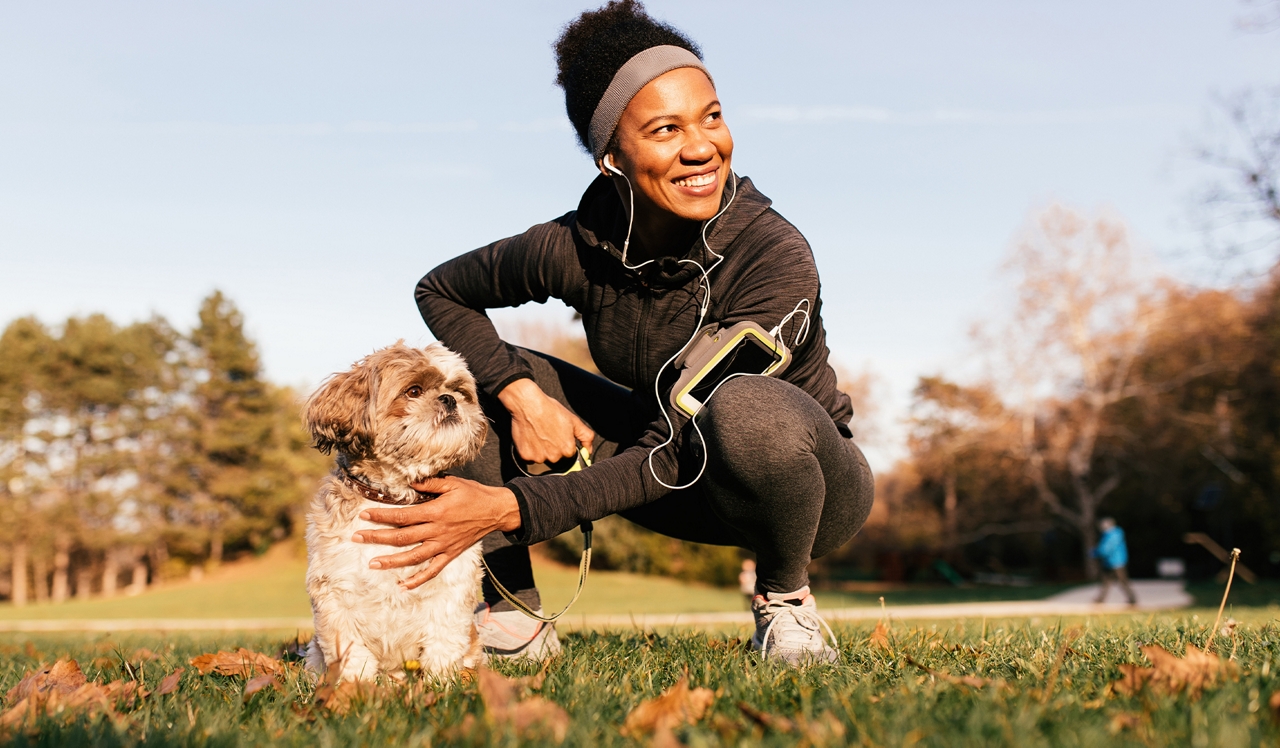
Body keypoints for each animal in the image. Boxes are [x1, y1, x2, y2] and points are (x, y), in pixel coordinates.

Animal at [299, 340, 488, 681]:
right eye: (413, 391)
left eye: (459, 390)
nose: (450, 399)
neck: (392, 499)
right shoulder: (336, 594)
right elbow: (351, 653)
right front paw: (355, 688)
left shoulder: (450, 588)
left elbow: (443, 642)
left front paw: (442, 683)